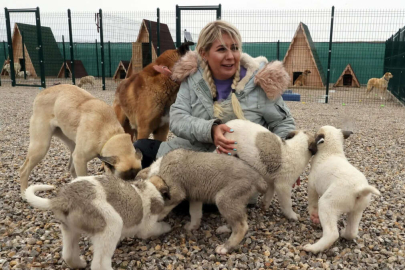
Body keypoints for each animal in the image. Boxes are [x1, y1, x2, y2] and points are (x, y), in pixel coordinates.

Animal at [24, 175, 170, 270]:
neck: (149, 188)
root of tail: (64, 198)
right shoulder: (148, 227)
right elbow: (157, 228)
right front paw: (168, 227)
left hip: (69, 229)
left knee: (68, 254)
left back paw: (79, 264)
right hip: (111, 225)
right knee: (99, 264)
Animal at [136, 149, 268, 254]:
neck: (159, 167)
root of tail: (257, 176)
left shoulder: (177, 193)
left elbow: (164, 207)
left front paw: (156, 218)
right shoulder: (196, 197)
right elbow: (195, 213)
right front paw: (193, 226)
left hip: (225, 198)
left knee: (242, 226)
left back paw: (226, 247)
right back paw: (225, 228)